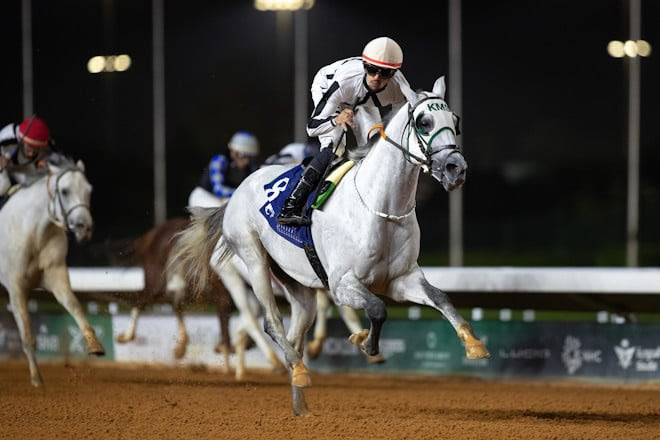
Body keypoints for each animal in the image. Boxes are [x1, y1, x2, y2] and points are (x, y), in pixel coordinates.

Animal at [0, 156, 104, 386]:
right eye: (64, 191)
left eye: (89, 189)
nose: (85, 227)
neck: (34, 232)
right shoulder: (15, 286)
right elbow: (27, 334)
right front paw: (36, 379)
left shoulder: (57, 275)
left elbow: (74, 305)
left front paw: (94, 344)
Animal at [172, 76, 490, 415]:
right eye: (424, 122)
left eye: (455, 120)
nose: (457, 168)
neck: (380, 207)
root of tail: (237, 192)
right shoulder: (341, 283)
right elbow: (376, 308)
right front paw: (366, 343)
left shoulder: (401, 279)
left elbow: (440, 298)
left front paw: (474, 344)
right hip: (251, 259)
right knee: (269, 322)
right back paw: (290, 368)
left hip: (297, 284)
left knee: (295, 333)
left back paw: (300, 395)